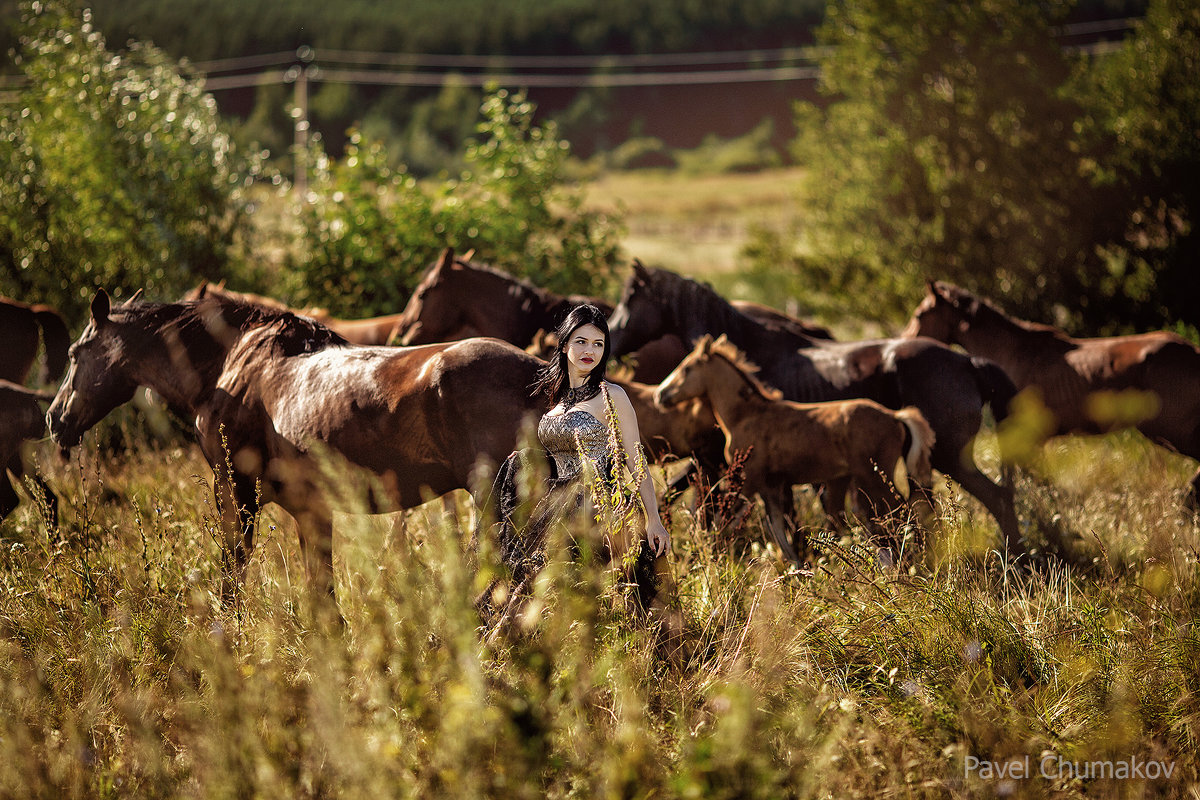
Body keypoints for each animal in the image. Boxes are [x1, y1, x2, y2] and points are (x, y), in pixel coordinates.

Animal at [49, 291, 547, 609]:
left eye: (74, 353)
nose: (55, 419)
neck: (230, 368)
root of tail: (542, 371)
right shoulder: (312, 511)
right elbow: (321, 599)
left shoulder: (235, 495)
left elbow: (233, 574)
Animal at [657, 333, 936, 563]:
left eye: (687, 368)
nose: (660, 395)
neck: (746, 415)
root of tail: (896, 416)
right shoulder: (771, 486)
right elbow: (777, 527)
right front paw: (797, 568)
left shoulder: (747, 481)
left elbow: (723, 521)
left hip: (875, 478)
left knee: (900, 514)